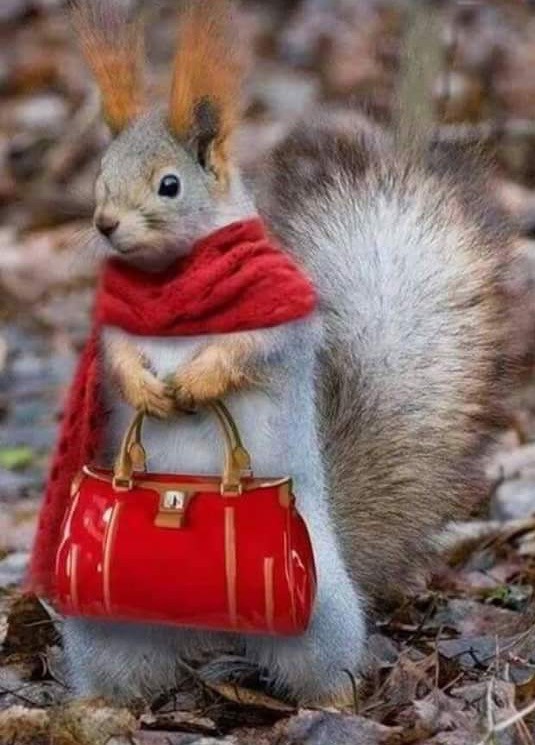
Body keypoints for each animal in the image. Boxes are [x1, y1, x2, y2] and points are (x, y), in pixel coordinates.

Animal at [53, 0, 518, 707]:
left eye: (169, 185)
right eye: (100, 176)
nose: (105, 224)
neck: (170, 282)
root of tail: (210, 632)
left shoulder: (283, 321)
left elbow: (256, 347)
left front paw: (199, 380)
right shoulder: (112, 326)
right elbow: (119, 355)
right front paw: (144, 385)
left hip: (315, 610)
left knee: (325, 668)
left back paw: (333, 702)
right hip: (105, 621)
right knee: (124, 672)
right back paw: (97, 705)